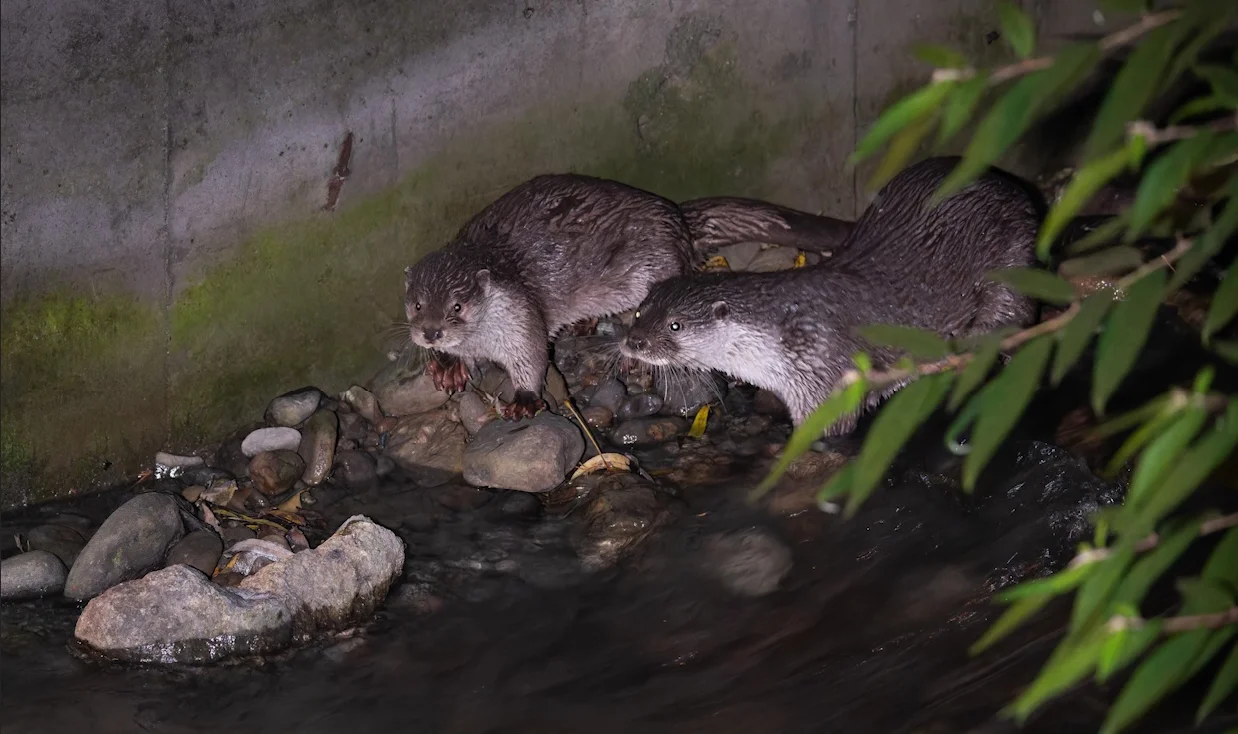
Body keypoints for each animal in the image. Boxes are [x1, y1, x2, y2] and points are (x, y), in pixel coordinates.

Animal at [618, 156, 1041, 436]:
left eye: (675, 325)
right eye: (639, 314)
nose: (634, 343)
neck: (782, 334)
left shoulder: (826, 372)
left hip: (1012, 258)